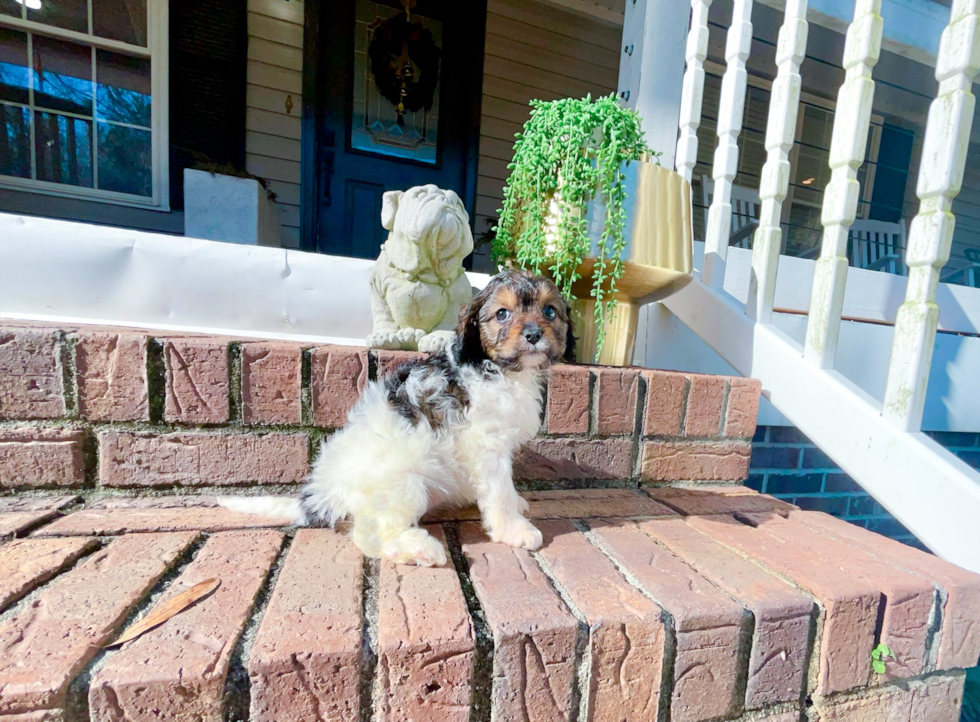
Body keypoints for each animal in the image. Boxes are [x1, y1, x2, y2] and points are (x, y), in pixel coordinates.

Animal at [222, 268, 576, 564]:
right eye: (502, 314)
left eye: (550, 311)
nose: (533, 334)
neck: (499, 369)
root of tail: (323, 493)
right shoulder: (486, 443)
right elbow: (499, 490)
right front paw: (515, 529)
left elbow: (506, 487)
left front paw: (517, 504)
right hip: (404, 484)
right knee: (370, 535)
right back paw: (419, 549)